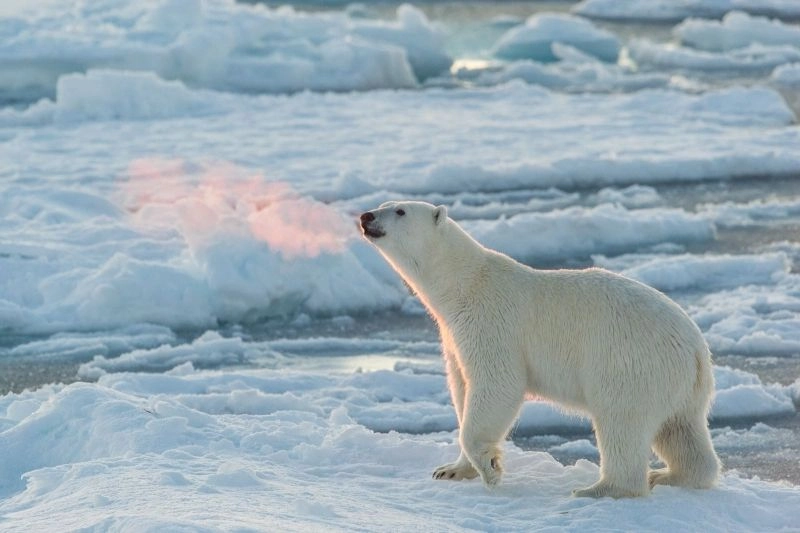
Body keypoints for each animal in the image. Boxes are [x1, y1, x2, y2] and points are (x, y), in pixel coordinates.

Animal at [360, 198, 720, 494]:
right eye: (383, 203)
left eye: (399, 211)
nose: (366, 216)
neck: (463, 284)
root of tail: (696, 350)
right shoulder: (454, 337)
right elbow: (462, 388)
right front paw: (452, 469)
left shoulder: (491, 323)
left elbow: (498, 385)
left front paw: (491, 468)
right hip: (678, 385)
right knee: (681, 430)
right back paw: (670, 475)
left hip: (630, 362)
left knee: (622, 421)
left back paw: (602, 488)